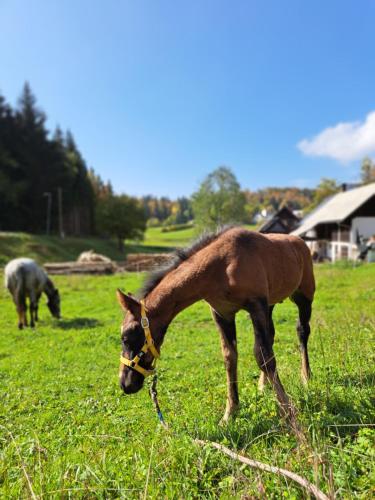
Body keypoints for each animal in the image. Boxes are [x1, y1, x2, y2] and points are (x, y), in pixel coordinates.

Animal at [118, 227, 318, 426]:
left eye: (127, 336)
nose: (125, 384)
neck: (222, 267)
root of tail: (300, 242)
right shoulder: (222, 313)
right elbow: (230, 357)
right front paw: (230, 413)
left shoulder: (256, 304)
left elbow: (263, 356)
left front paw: (288, 413)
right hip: (270, 304)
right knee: (271, 336)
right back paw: (263, 385)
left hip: (303, 296)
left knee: (302, 331)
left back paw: (306, 377)